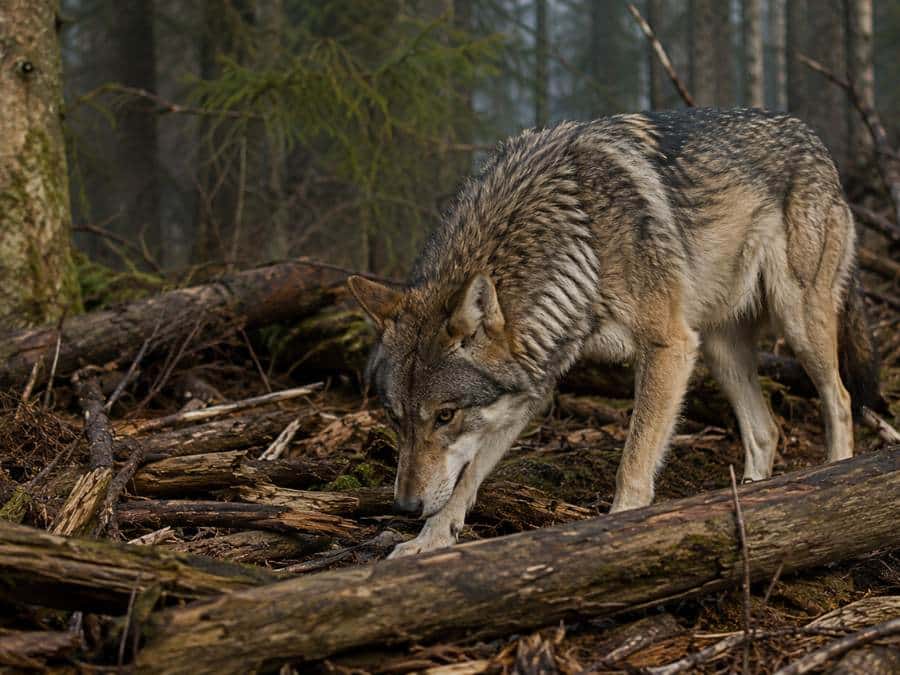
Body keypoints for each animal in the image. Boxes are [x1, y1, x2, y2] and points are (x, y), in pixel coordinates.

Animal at [348, 108, 881, 558]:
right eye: (394, 417)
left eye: (445, 416)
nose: (404, 507)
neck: (579, 241)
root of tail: (812, 136)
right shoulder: (532, 386)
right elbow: (466, 478)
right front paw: (428, 540)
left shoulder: (669, 346)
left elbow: (634, 462)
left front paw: (619, 527)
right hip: (719, 350)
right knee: (767, 429)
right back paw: (756, 496)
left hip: (796, 322)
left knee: (839, 399)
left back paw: (832, 479)